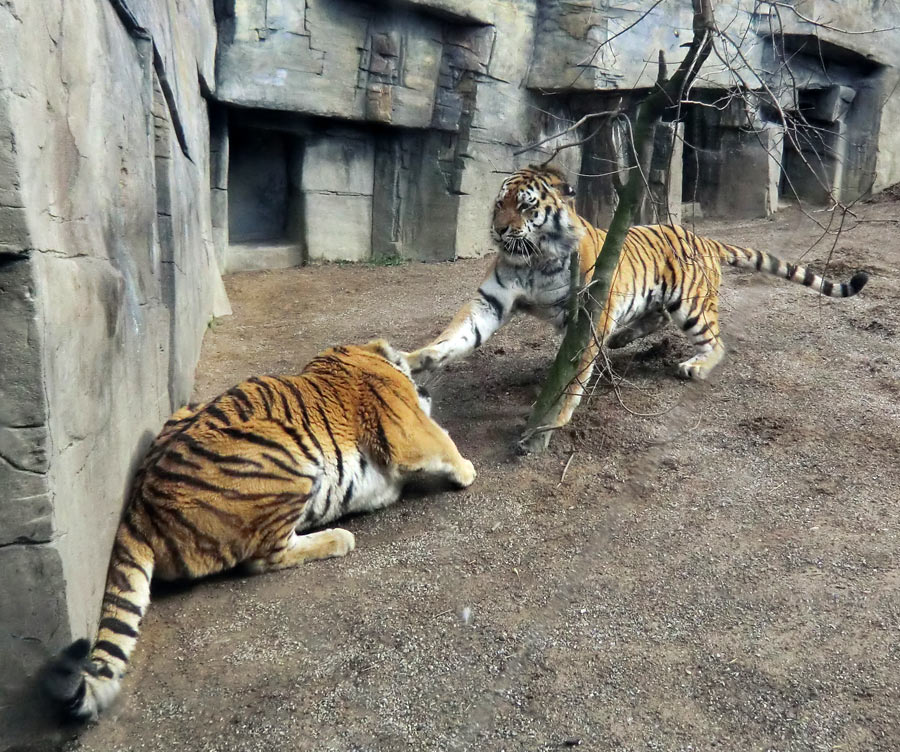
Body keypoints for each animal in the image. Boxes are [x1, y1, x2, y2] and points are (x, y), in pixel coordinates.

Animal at [44, 338, 478, 720]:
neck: (365, 357)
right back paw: (339, 538)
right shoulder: (408, 429)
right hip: (289, 462)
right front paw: (467, 470)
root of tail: (138, 504)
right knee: (264, 558)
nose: (424, 383)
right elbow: (442, 440)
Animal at [406, 165, 864, 434]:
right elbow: (456, 335)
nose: (500, 230)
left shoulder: (589, 313)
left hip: (689, 305)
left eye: (525, 206)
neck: (535, 256)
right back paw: (621, 340)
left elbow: (574, 376)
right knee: (654, 320)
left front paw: (556, 418)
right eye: (499, 203)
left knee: (715, 341)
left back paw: (695, 366)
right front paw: (417, 359)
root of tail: (704, 238)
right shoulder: (492, 300)